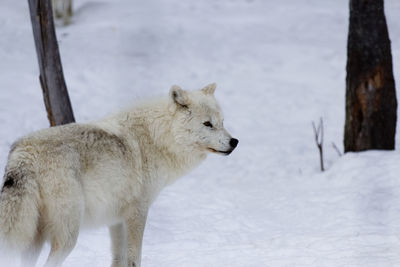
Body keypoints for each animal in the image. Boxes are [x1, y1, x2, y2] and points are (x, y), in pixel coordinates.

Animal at [0, 84, 238, 267]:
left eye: (222, 122)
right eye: (207, 124)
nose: (234, 142)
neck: (157, 138)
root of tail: (24, 153)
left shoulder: (115, 219)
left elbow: (117, 259)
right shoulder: (137, 212)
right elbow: (133, 259)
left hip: (34, 238)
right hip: (66, 237)